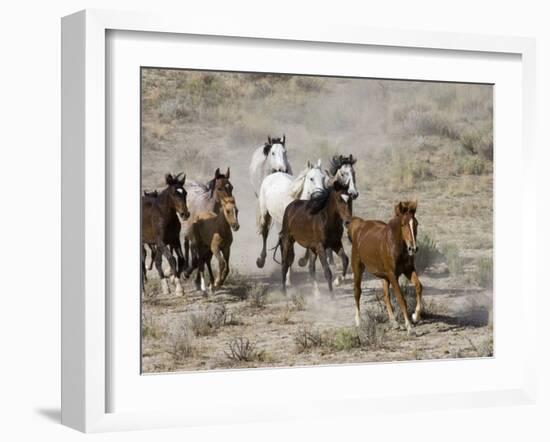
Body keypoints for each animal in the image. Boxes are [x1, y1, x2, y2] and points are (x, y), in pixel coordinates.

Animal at [352, 199, 424, 332]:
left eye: (416, 224)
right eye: (403, 224)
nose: (413, 248)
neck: (396, 246)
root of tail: (361, 225)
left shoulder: (408, 270)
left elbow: (418, 286)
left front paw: (415, 316)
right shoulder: (392, 274)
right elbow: (401, 298)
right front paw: (409, 326)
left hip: (384, 276)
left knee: (386, 296)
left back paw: (394, 322)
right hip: (358, 268)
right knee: (357, 291)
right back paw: (358, 321)